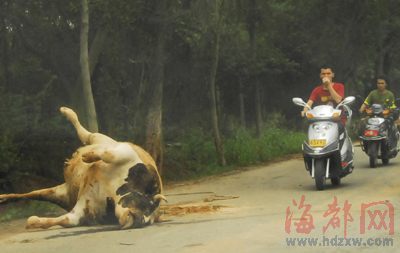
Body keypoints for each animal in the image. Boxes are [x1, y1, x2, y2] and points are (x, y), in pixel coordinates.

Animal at [0, 106, 166, 229]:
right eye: (147, 205)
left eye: (149, 220)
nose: (140, 220)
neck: (112, 191)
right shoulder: (128, 153)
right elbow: (107, 154)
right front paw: (88, 157)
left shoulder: (83, 209)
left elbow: (65, 221)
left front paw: (34, 221)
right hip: (100, 138)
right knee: (87, 134)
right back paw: (67, 112)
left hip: (62, 195)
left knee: (34, 193)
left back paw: (3, 198)